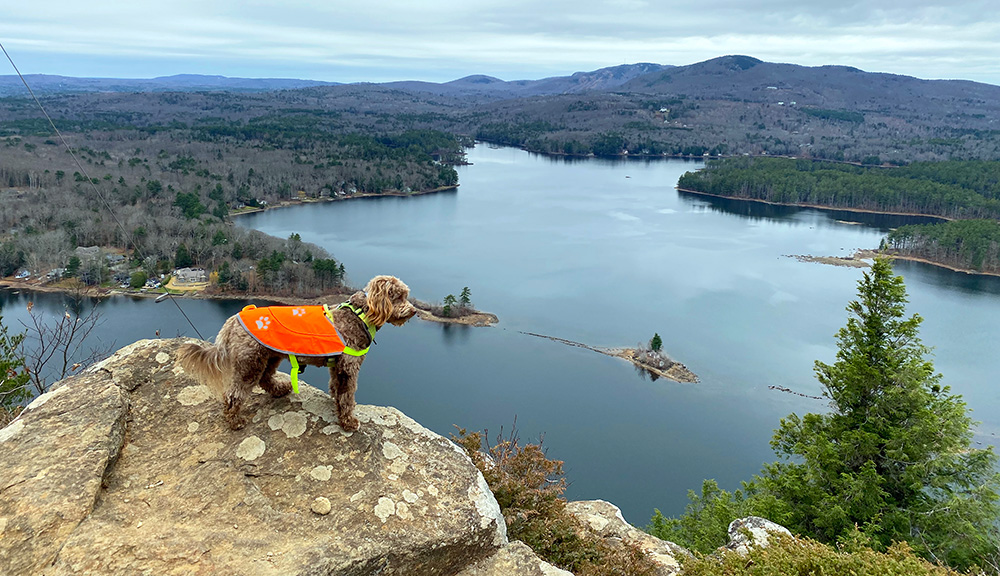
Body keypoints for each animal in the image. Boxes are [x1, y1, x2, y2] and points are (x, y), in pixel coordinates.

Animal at [178, 276, 416, 432]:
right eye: (397, 297)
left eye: (406, 296)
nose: (414, 311)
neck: (360, 315)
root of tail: (232, 320)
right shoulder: (349, 367)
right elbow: (347, 396)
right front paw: (348, 421)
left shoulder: (337, 367)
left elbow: (337, 389)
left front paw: (336, 405)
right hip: (250, 362)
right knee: (234, 394)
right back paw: (234, 420)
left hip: (270, 355)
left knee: (265, 379)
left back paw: (280, 389)